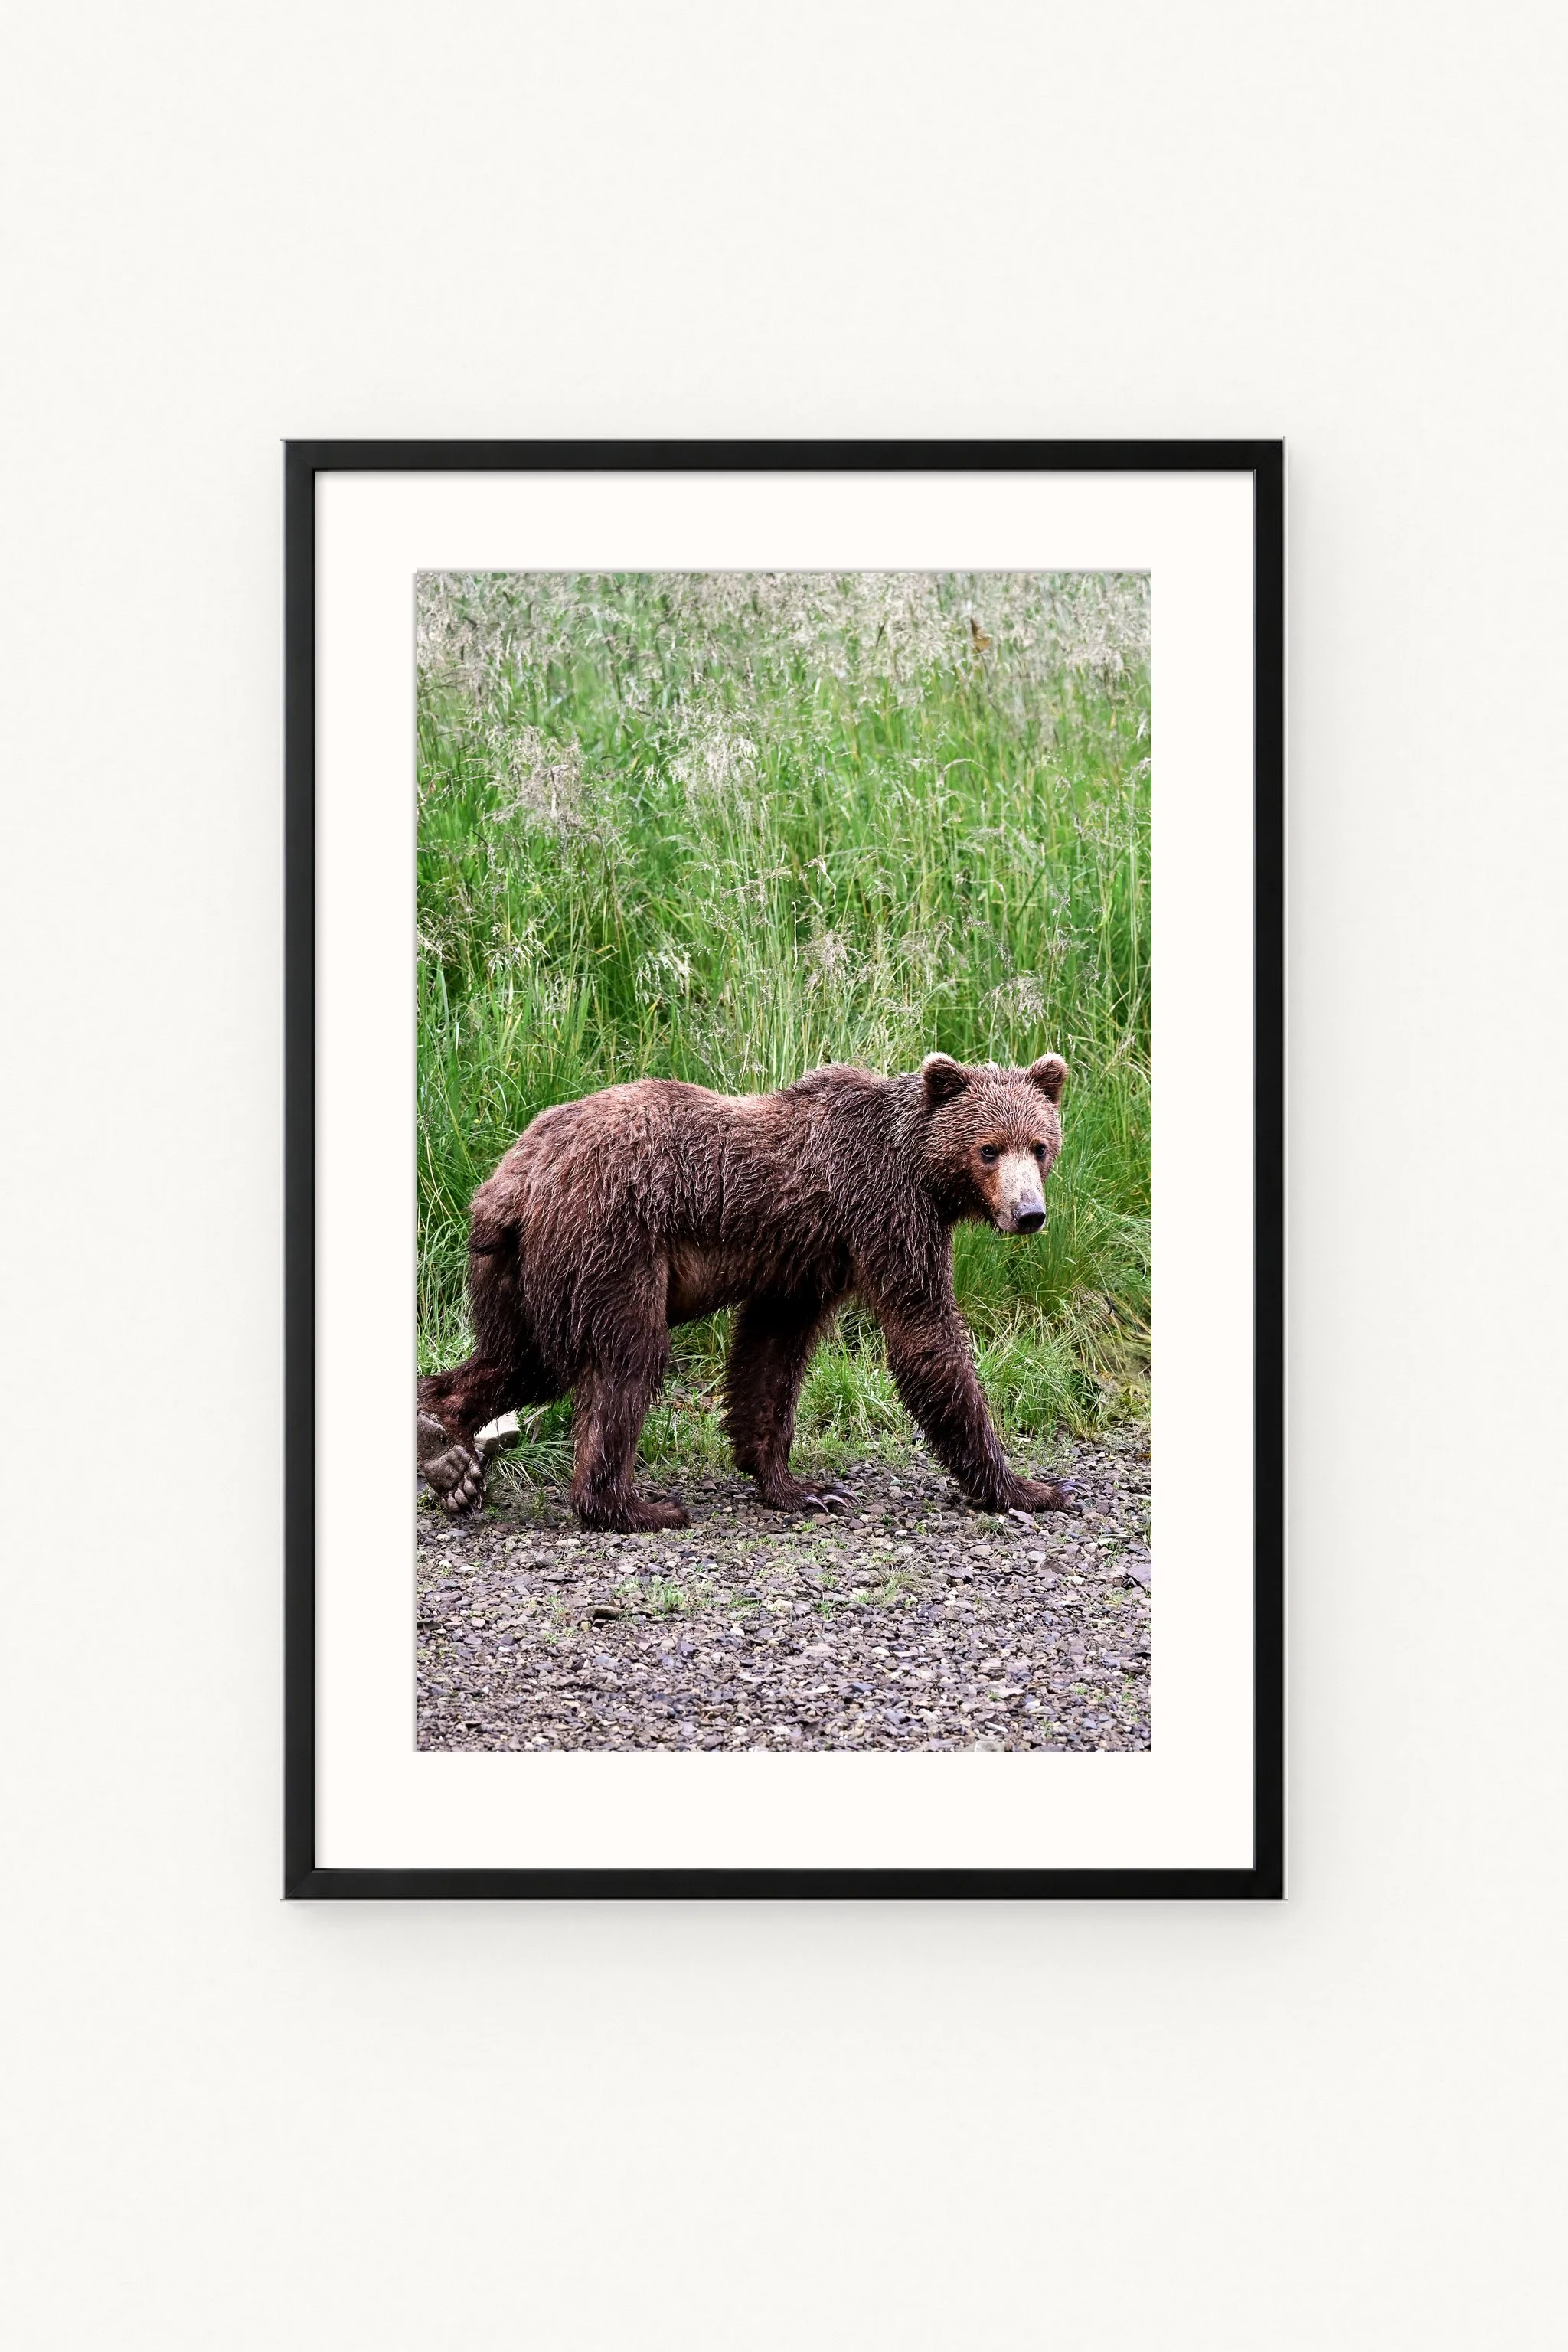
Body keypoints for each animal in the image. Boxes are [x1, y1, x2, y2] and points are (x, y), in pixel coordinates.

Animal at [416, 1050, 1074, 1534]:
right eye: (989, 1148)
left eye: (1040, 1145)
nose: (1029, 1213)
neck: (922, 1170)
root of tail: (512, 1181)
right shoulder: (885, 1212)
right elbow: (926, 1334)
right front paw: (1030, 1487)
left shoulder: (804, 1263)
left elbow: (770, 1357)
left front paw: (801, 1487)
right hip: (609, 1246)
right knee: (623, 1362)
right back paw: (635, 1506)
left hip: (522, 1273)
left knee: (521, 1360)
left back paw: (445, 1447)